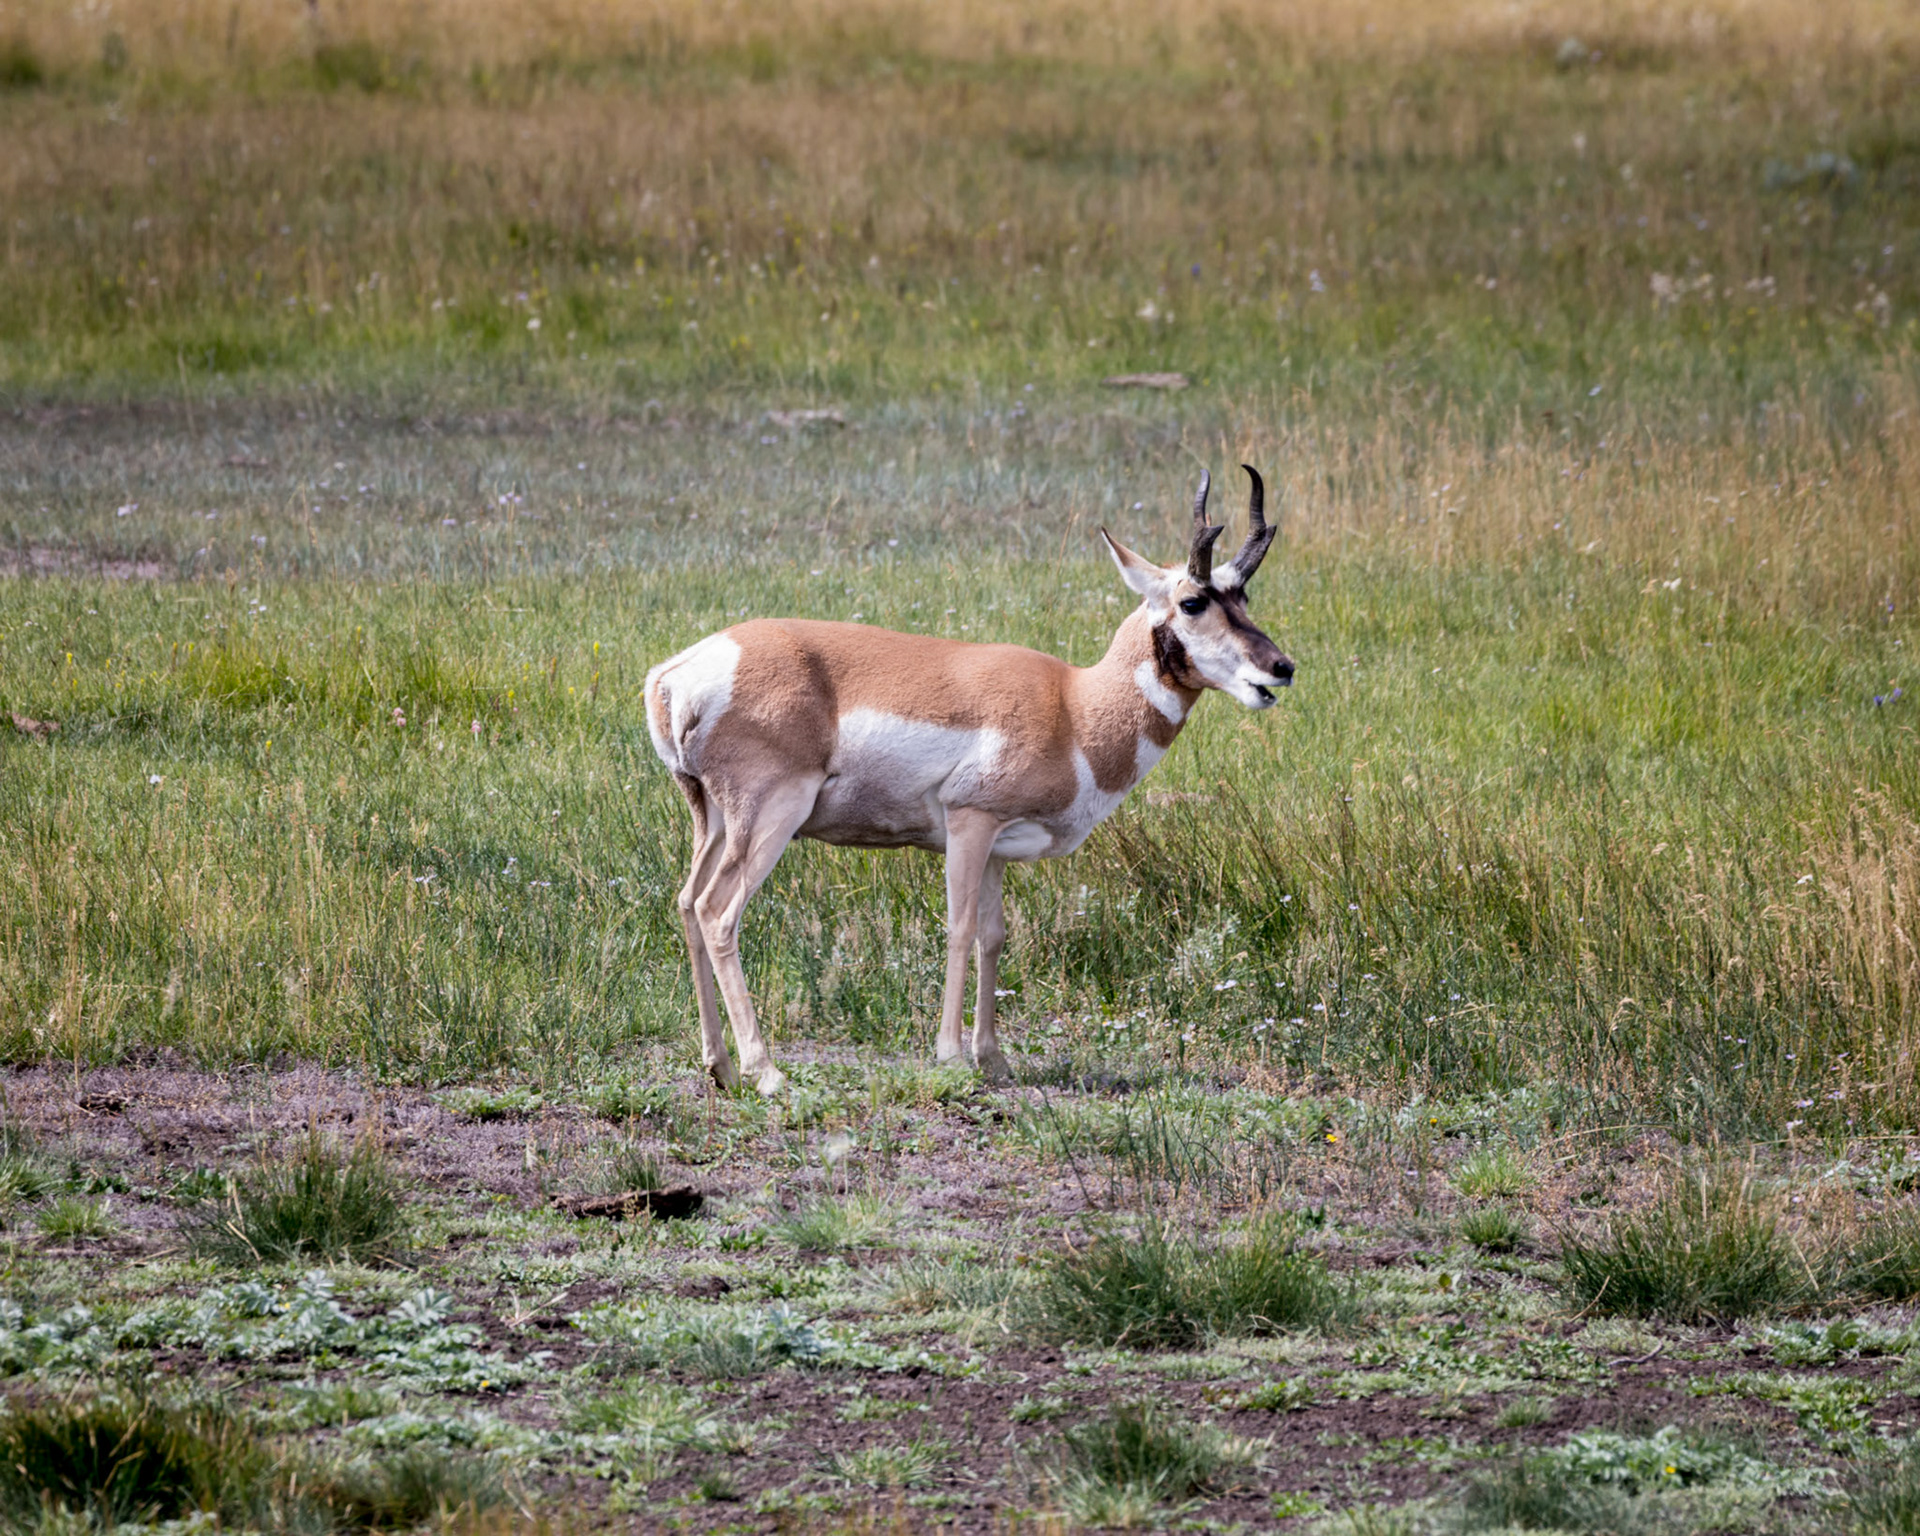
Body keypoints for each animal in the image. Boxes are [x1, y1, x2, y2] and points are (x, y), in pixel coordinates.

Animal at [645, 466, 1293, 1094]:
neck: (1072, 705)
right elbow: (957, 929)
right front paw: (952, 1057)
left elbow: (993, 936)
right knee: (718, 912)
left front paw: (994, 1060)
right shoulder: (969, 823)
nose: (1281, 667)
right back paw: (766, 1072)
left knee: (687, 903)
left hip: (716, 823)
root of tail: (677, 672)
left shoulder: (999, 850)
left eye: (1244, 595)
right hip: (772, 817)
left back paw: (721, 1067)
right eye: (1192, 601)